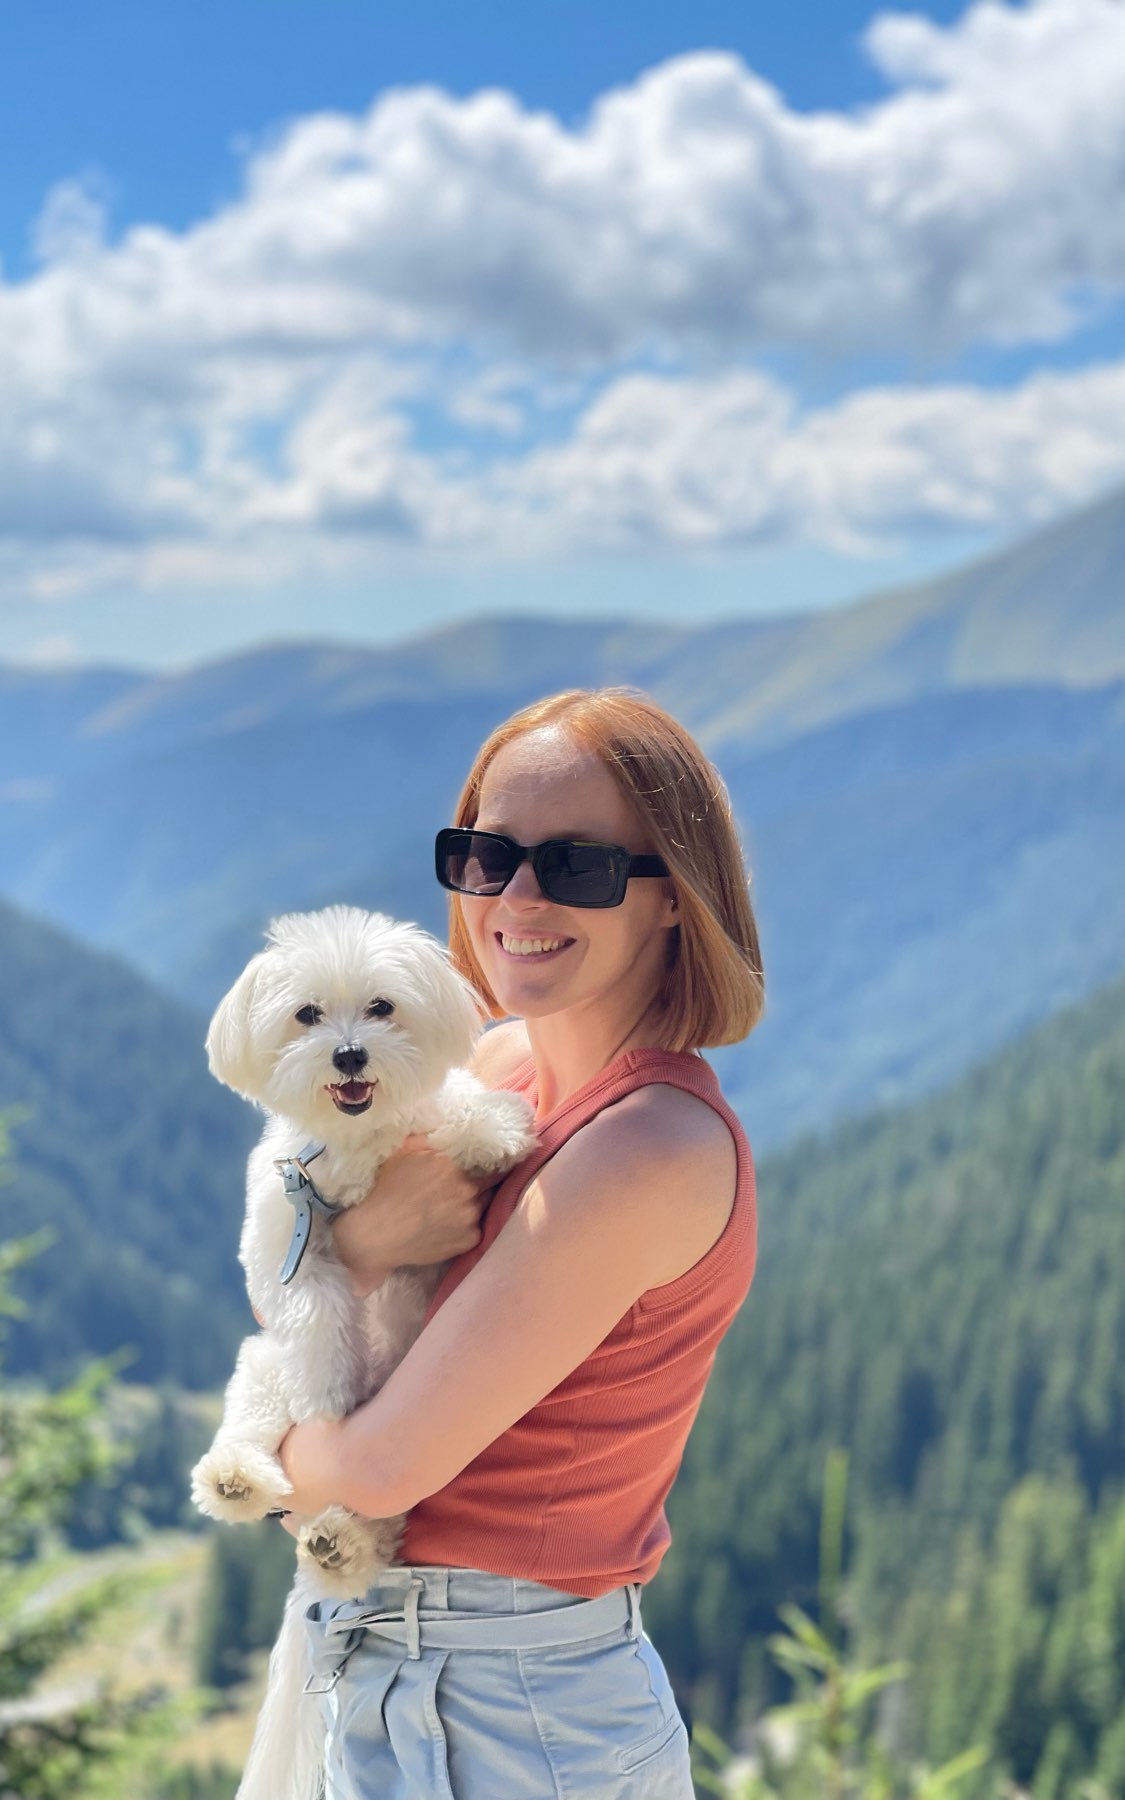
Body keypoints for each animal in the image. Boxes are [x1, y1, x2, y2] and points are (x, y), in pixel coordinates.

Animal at [189, 904, 538, 1800]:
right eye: (307, 1015)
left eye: (381, 1007)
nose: (349, 1054)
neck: (360, 1147)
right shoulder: (287, 1234)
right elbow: (315, 1314)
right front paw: (329, 1394)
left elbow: (457, 1105)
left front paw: (489, 1132)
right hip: (259, 1369)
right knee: (255, 1436)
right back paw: (250, 1486)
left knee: (370, 1535)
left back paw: (342, 1543)